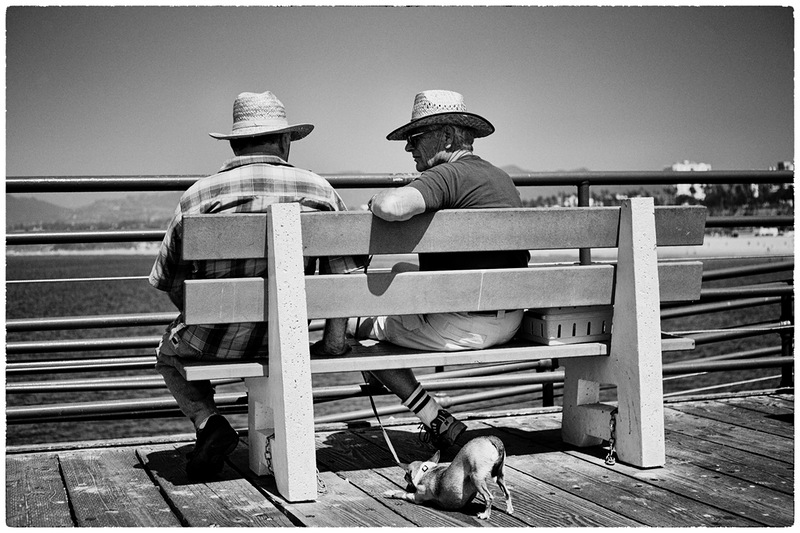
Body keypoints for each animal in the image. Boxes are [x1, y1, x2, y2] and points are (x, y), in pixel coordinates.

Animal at [384, 434, 516, 516]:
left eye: (406, 478)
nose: (408, 487)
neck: (426, 471)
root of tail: (490, 439)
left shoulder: (417, 497)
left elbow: (403, 494)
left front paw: (391, 493)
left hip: (476, 478)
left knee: (489, 497)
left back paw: (485, 515)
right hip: (499, 475)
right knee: (507, 492)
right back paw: (509, 509)